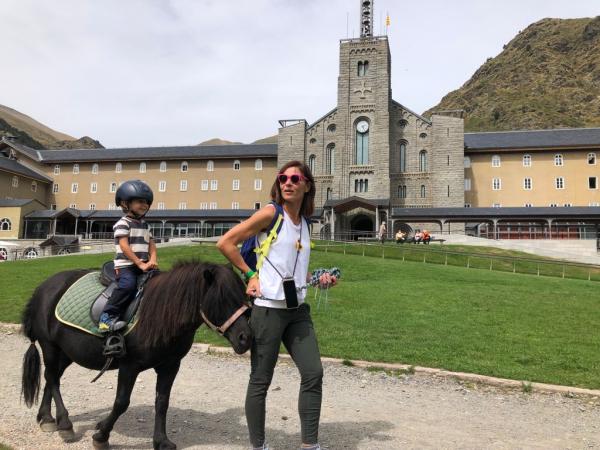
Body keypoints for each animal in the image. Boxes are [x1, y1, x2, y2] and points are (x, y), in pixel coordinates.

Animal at [20, 260, 251, 450]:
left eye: (244, 296)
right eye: (221, 299)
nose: (245, 338)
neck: (160, 313)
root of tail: (43, 287)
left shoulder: (170, 365)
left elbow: (162, 402)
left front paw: (161, 441)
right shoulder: (129, 366)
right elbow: (121, 402)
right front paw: (101, 436)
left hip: (66, 352)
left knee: (52, 378)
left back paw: (47, 418)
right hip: (50, 346)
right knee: (52, 378)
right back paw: (65, 424)